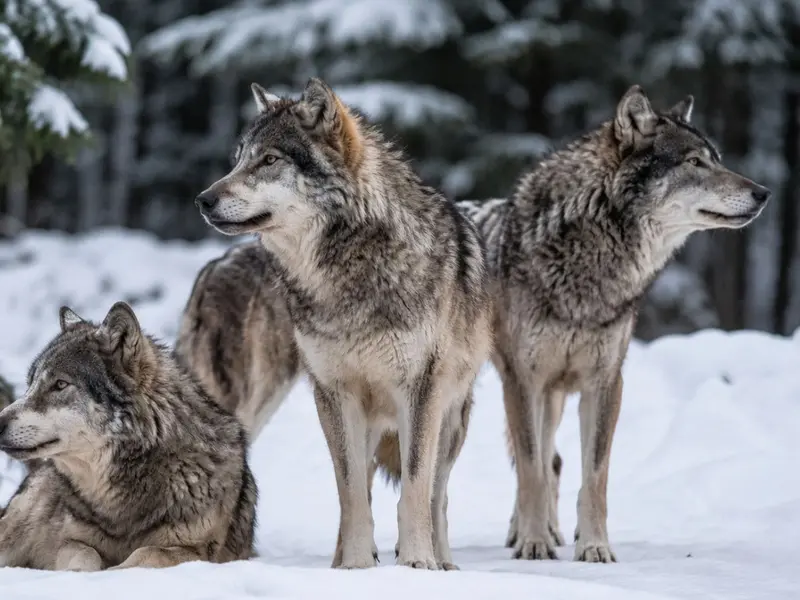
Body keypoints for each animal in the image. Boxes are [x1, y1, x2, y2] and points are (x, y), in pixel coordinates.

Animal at [0, 302, 257, 570]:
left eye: (60, 384)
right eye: (30, 384)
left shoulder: (199, 552)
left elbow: (148, 552)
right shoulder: (68, 541)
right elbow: (87, 554)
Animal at [193, 78, 493, 570]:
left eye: (269, 160)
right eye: (238, 158)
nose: (203, 200)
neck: (348, 272)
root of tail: (212, 269)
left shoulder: (420, 392)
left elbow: (415, 487)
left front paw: (417, 562)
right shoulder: (334, 392)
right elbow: (350, 492)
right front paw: (354, 566)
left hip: (450, 420)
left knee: (438, 493)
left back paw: (443, 561)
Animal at [458, 86, 770, 563]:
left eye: (717, 159)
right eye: (694, 162)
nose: (764, 193)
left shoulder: (605, 381)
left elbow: (594, 476)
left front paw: (593, 547)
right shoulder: (524, 380)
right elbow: (530, 468)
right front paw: (533, 544)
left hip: (553, 395)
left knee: (554, 460)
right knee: (538, 461)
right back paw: (532, 532)